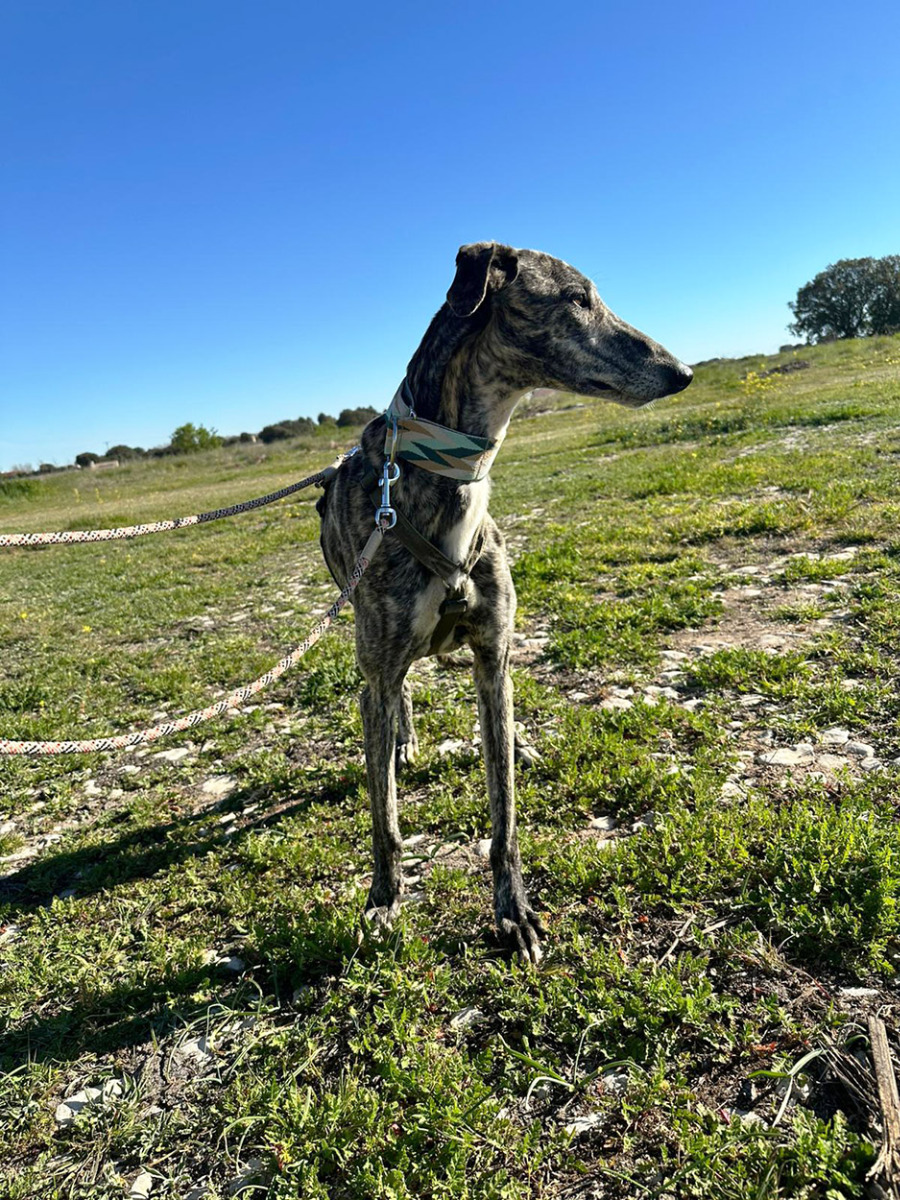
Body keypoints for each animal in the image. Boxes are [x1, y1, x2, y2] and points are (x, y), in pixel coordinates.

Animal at [317, 242, 692, 962]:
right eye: (577, 298)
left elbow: (506, 813)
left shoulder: (493, 657)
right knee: (396, 698)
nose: (682, 372)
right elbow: (384, 817)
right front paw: (384, 899)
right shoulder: (379, 667)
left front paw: (514, 910)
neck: (442, 485)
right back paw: (402, 745)